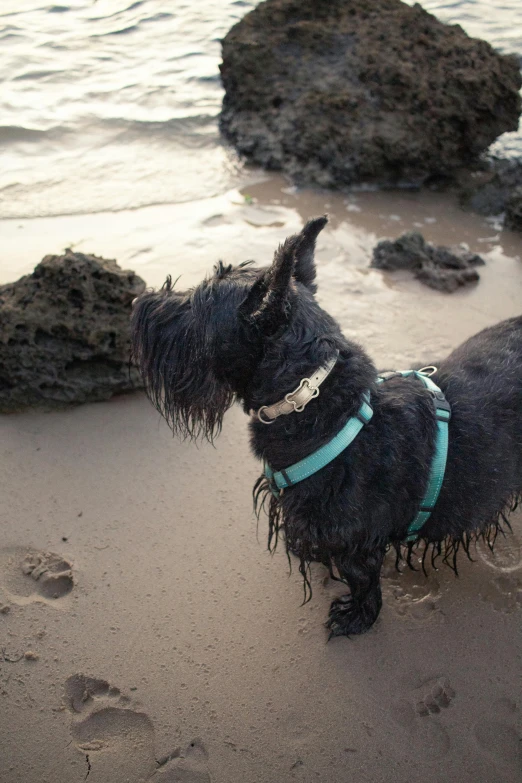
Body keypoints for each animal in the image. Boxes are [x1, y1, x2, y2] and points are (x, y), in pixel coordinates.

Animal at [130, 216, 520, 636]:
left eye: (197, 306)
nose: (138, 304)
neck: (315, 399)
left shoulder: (352, 541)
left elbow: (362, 580)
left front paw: (355, 618)